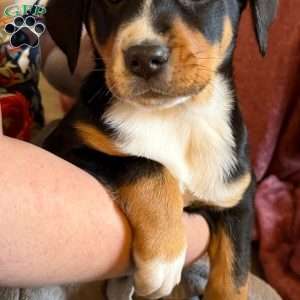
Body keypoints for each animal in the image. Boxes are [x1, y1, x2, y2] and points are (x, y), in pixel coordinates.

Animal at [43, 1, 278, 298]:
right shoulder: (62, 147)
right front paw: (163, 258)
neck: (174, 116)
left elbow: (233, 279)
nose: (144, 57)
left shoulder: (237, 196)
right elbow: (148, 164)